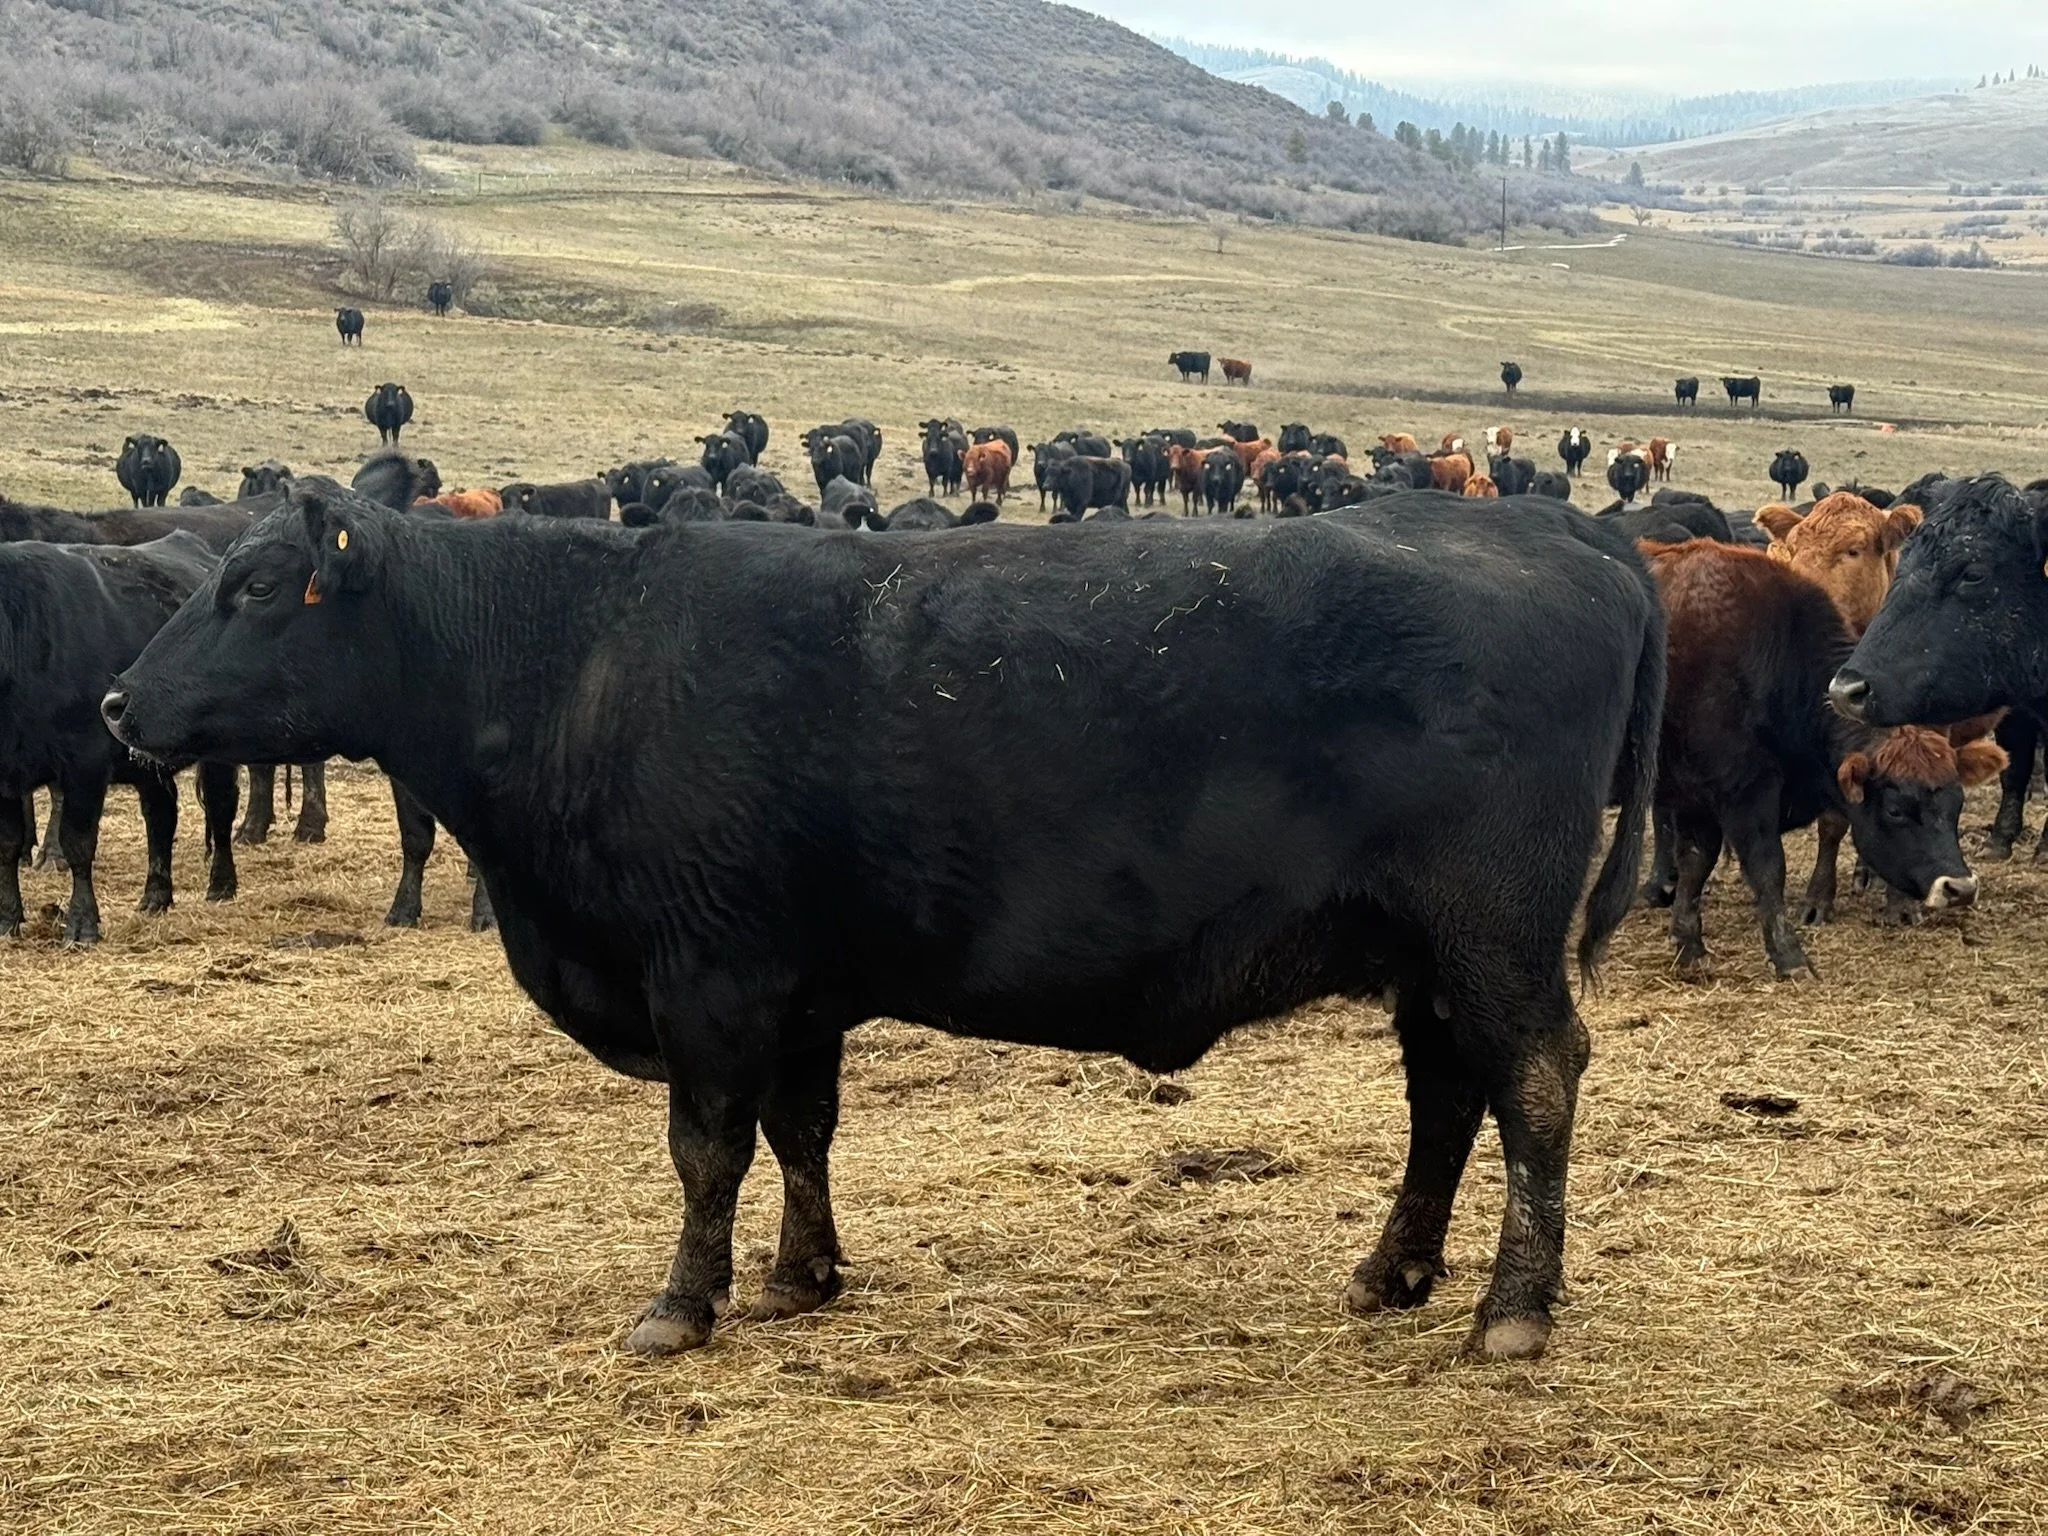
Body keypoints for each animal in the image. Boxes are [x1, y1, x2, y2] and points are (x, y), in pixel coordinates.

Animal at [0, 533, 240, 943]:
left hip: (218, 754)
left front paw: (82, 923)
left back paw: (221, 885)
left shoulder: (84, 761)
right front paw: (7, 918)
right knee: (161, 814)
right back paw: (155, 896)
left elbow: (77, 842)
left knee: (221, 806)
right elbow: (7, 845)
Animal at [102, 482, 1665, 1364]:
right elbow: (802, 1131)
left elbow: (707, 1149)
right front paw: (801, 1278)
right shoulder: (795, 985)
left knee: (1533, 1081)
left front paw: (680, 1308)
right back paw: (1392, 1273)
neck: (578, 658)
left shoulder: (710, 978)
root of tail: (1567, 532)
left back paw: (1512, 1311)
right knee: (1444, 1094)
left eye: (255, 589)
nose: (118, 703)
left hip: (1493, 931)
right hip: (1425, 952)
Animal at [1647, 537, 1996, 980]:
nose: (1960, 888)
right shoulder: (1743, 793)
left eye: (1956, 803)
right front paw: (1789, 956)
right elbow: (1766, 869)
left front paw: (1688, 945)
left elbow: (1696, 863)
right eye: (1896, 810)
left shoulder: (1699, 800)